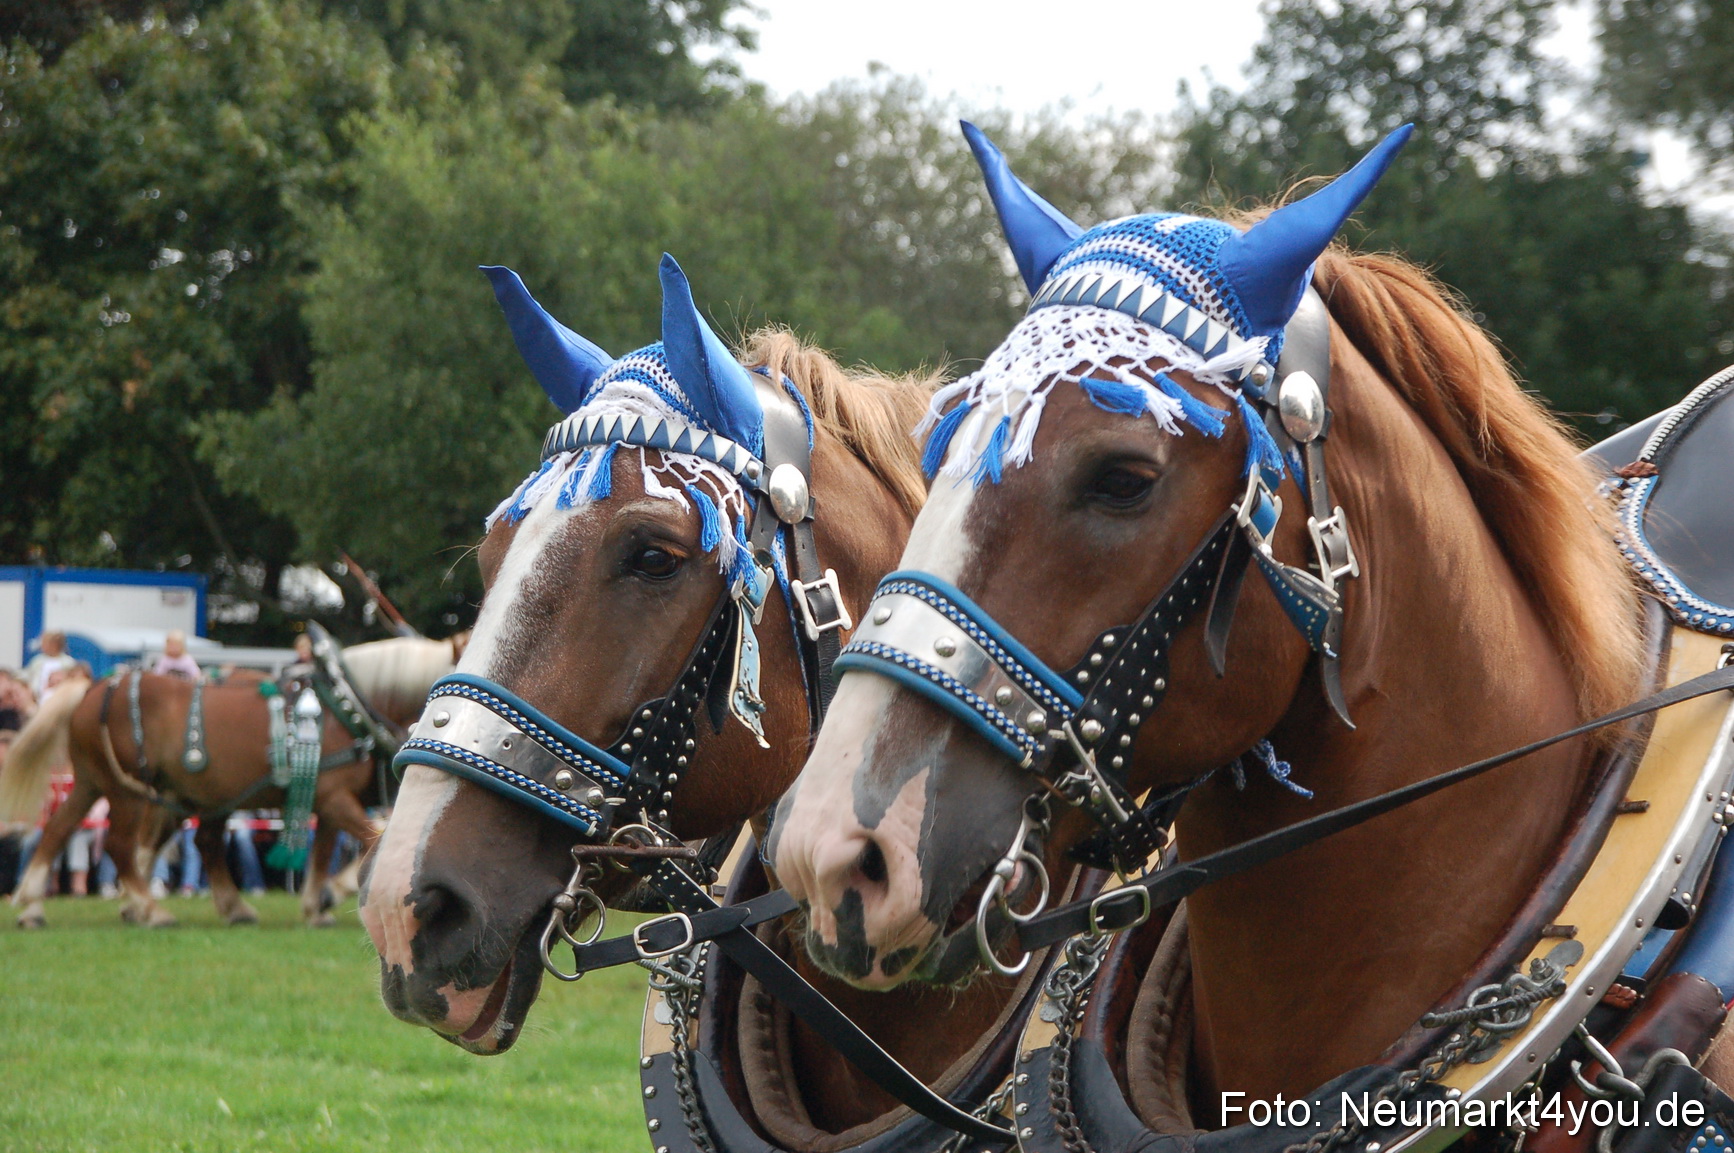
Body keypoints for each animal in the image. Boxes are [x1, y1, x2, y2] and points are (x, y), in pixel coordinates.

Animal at [0, 633, 459, 929]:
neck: (347, 705)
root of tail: (93, 687)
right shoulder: (334, 797)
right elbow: (376, 835)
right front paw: (336, 891)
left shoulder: (326, 800)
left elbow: (324, 852)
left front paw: (317, 903)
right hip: (127, 791)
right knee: (119, 845)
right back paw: (151, 910)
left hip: (98, 783)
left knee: (60, 829)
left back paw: (33, 906)